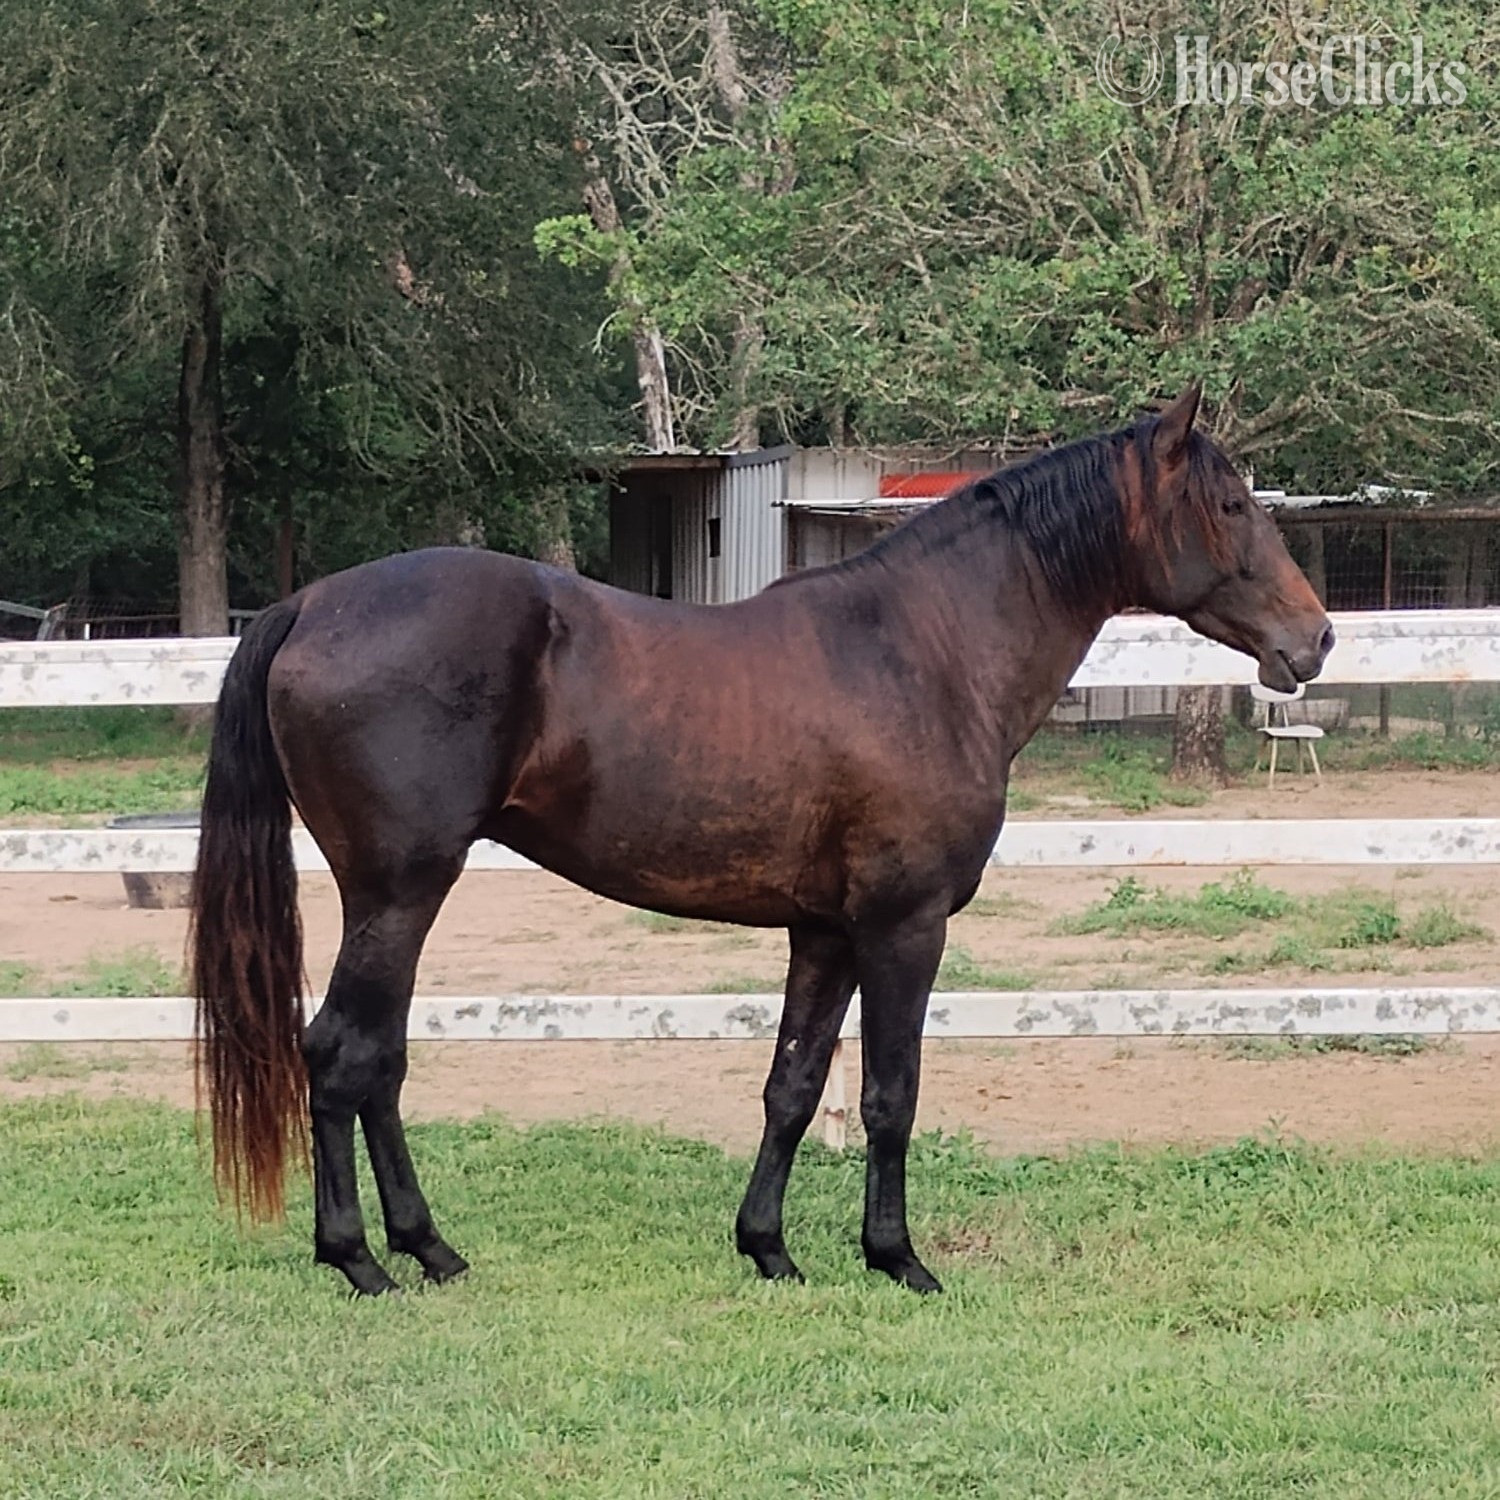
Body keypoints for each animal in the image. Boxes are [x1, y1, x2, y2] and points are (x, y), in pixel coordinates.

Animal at [190, 383, 1333, 1297]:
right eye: (1230, 506)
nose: (1315, 639)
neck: (923, 651)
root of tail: (309, 604)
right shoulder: (904, 927)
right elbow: (889, 1094)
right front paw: (897, 1258)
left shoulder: (823, 931)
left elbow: (793, 1086)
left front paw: (769, 1248)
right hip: (398, 890)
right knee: (341, 1055)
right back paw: (359, 1260)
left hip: (403, 898)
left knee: (379, 1062)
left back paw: (430, 1249)